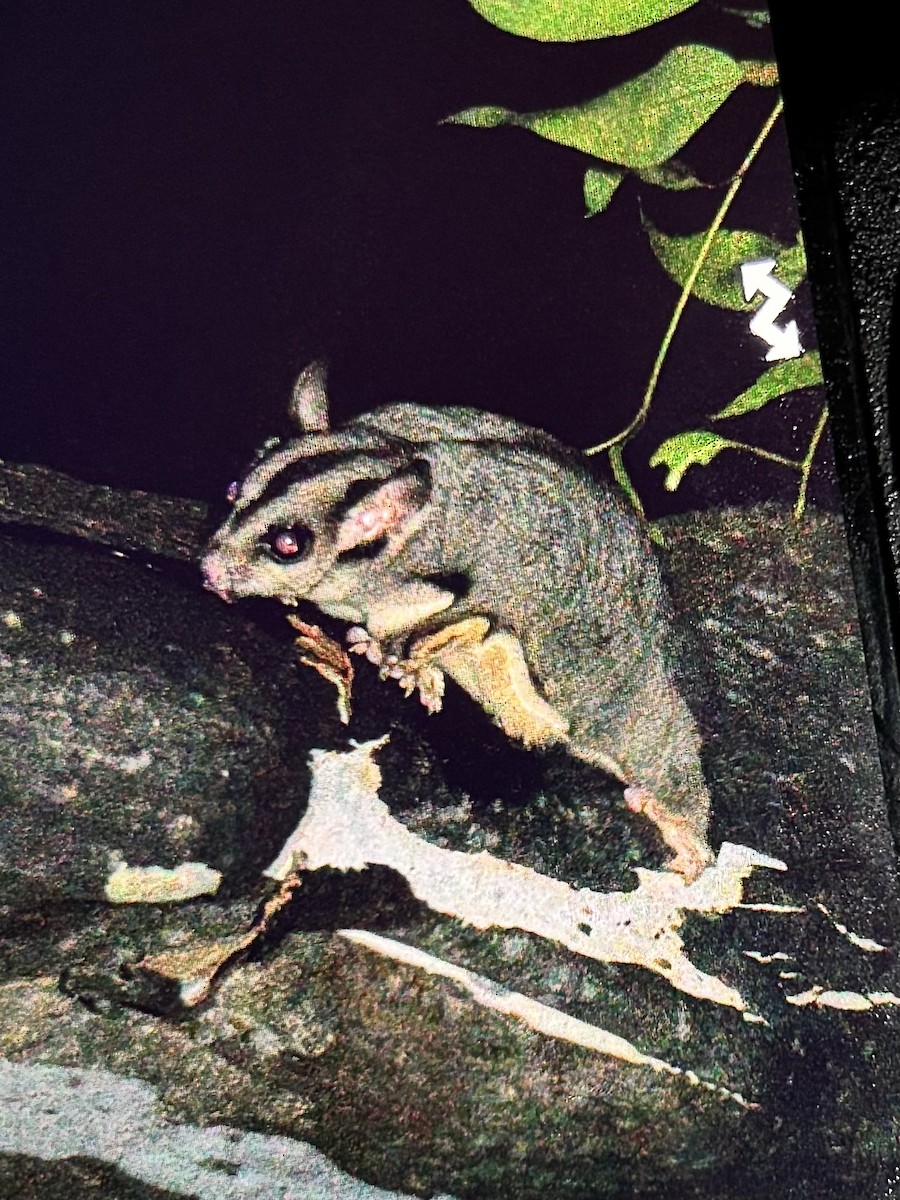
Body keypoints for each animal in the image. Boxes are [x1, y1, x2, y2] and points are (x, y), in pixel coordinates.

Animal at [202, 362, 714, 880]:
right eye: (231, 492)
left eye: (288, 544)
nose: (208, 570)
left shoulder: (488, 568)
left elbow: (473, 610)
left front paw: (403, 660)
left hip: (617, 694)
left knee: (650, 731)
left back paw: (684, 828)